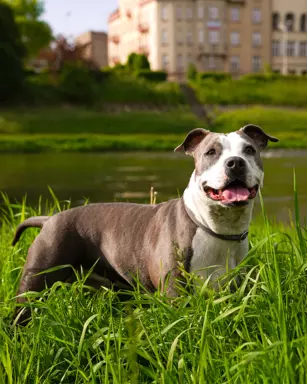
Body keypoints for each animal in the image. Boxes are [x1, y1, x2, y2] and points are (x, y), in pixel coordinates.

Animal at [12, 124, 280, 322]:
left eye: (249, 150)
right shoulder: (175, 293)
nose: (235, 162)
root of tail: (50, 219)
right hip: (36, 281)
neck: (215, 228)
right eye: (211, 152)